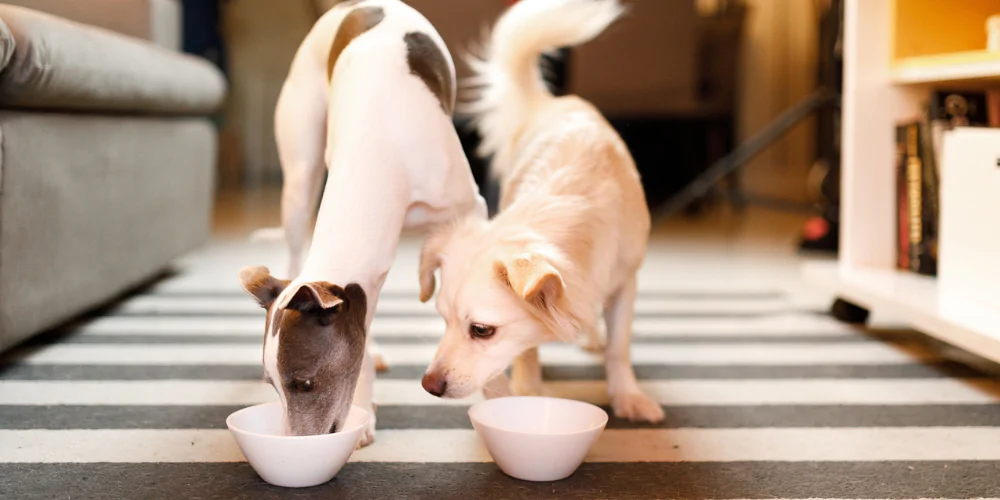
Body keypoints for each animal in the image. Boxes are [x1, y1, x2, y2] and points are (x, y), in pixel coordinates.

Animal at [239, 0, 488, 446]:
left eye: (304, 383)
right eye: (272, 387)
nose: (292, 445)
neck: (385, 146)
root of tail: (348, 5)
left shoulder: (470, 211)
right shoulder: (365, 284)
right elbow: (360, 345)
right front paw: (365, 414)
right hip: (300, 180)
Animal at [416, 0, 664, 424]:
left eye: (481, 330)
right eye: (443, 319)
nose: (429, 386)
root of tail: (553, 100)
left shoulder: (626, 280)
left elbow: (620, 346)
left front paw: (628, 396)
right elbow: (529, 347)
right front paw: (528, 389)